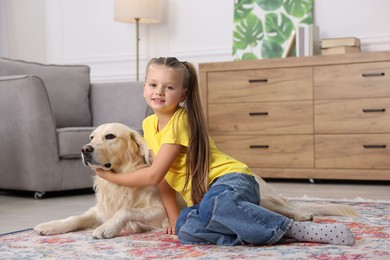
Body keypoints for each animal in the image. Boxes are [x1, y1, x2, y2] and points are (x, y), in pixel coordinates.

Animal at [34, 123, 167, 239]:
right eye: (91, 137)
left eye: (110, 136)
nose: (84, 149)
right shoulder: (100, 210)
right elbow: (75, 218)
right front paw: (51, 225)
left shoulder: (161, 211)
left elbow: (126, 210)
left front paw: (107, 227)